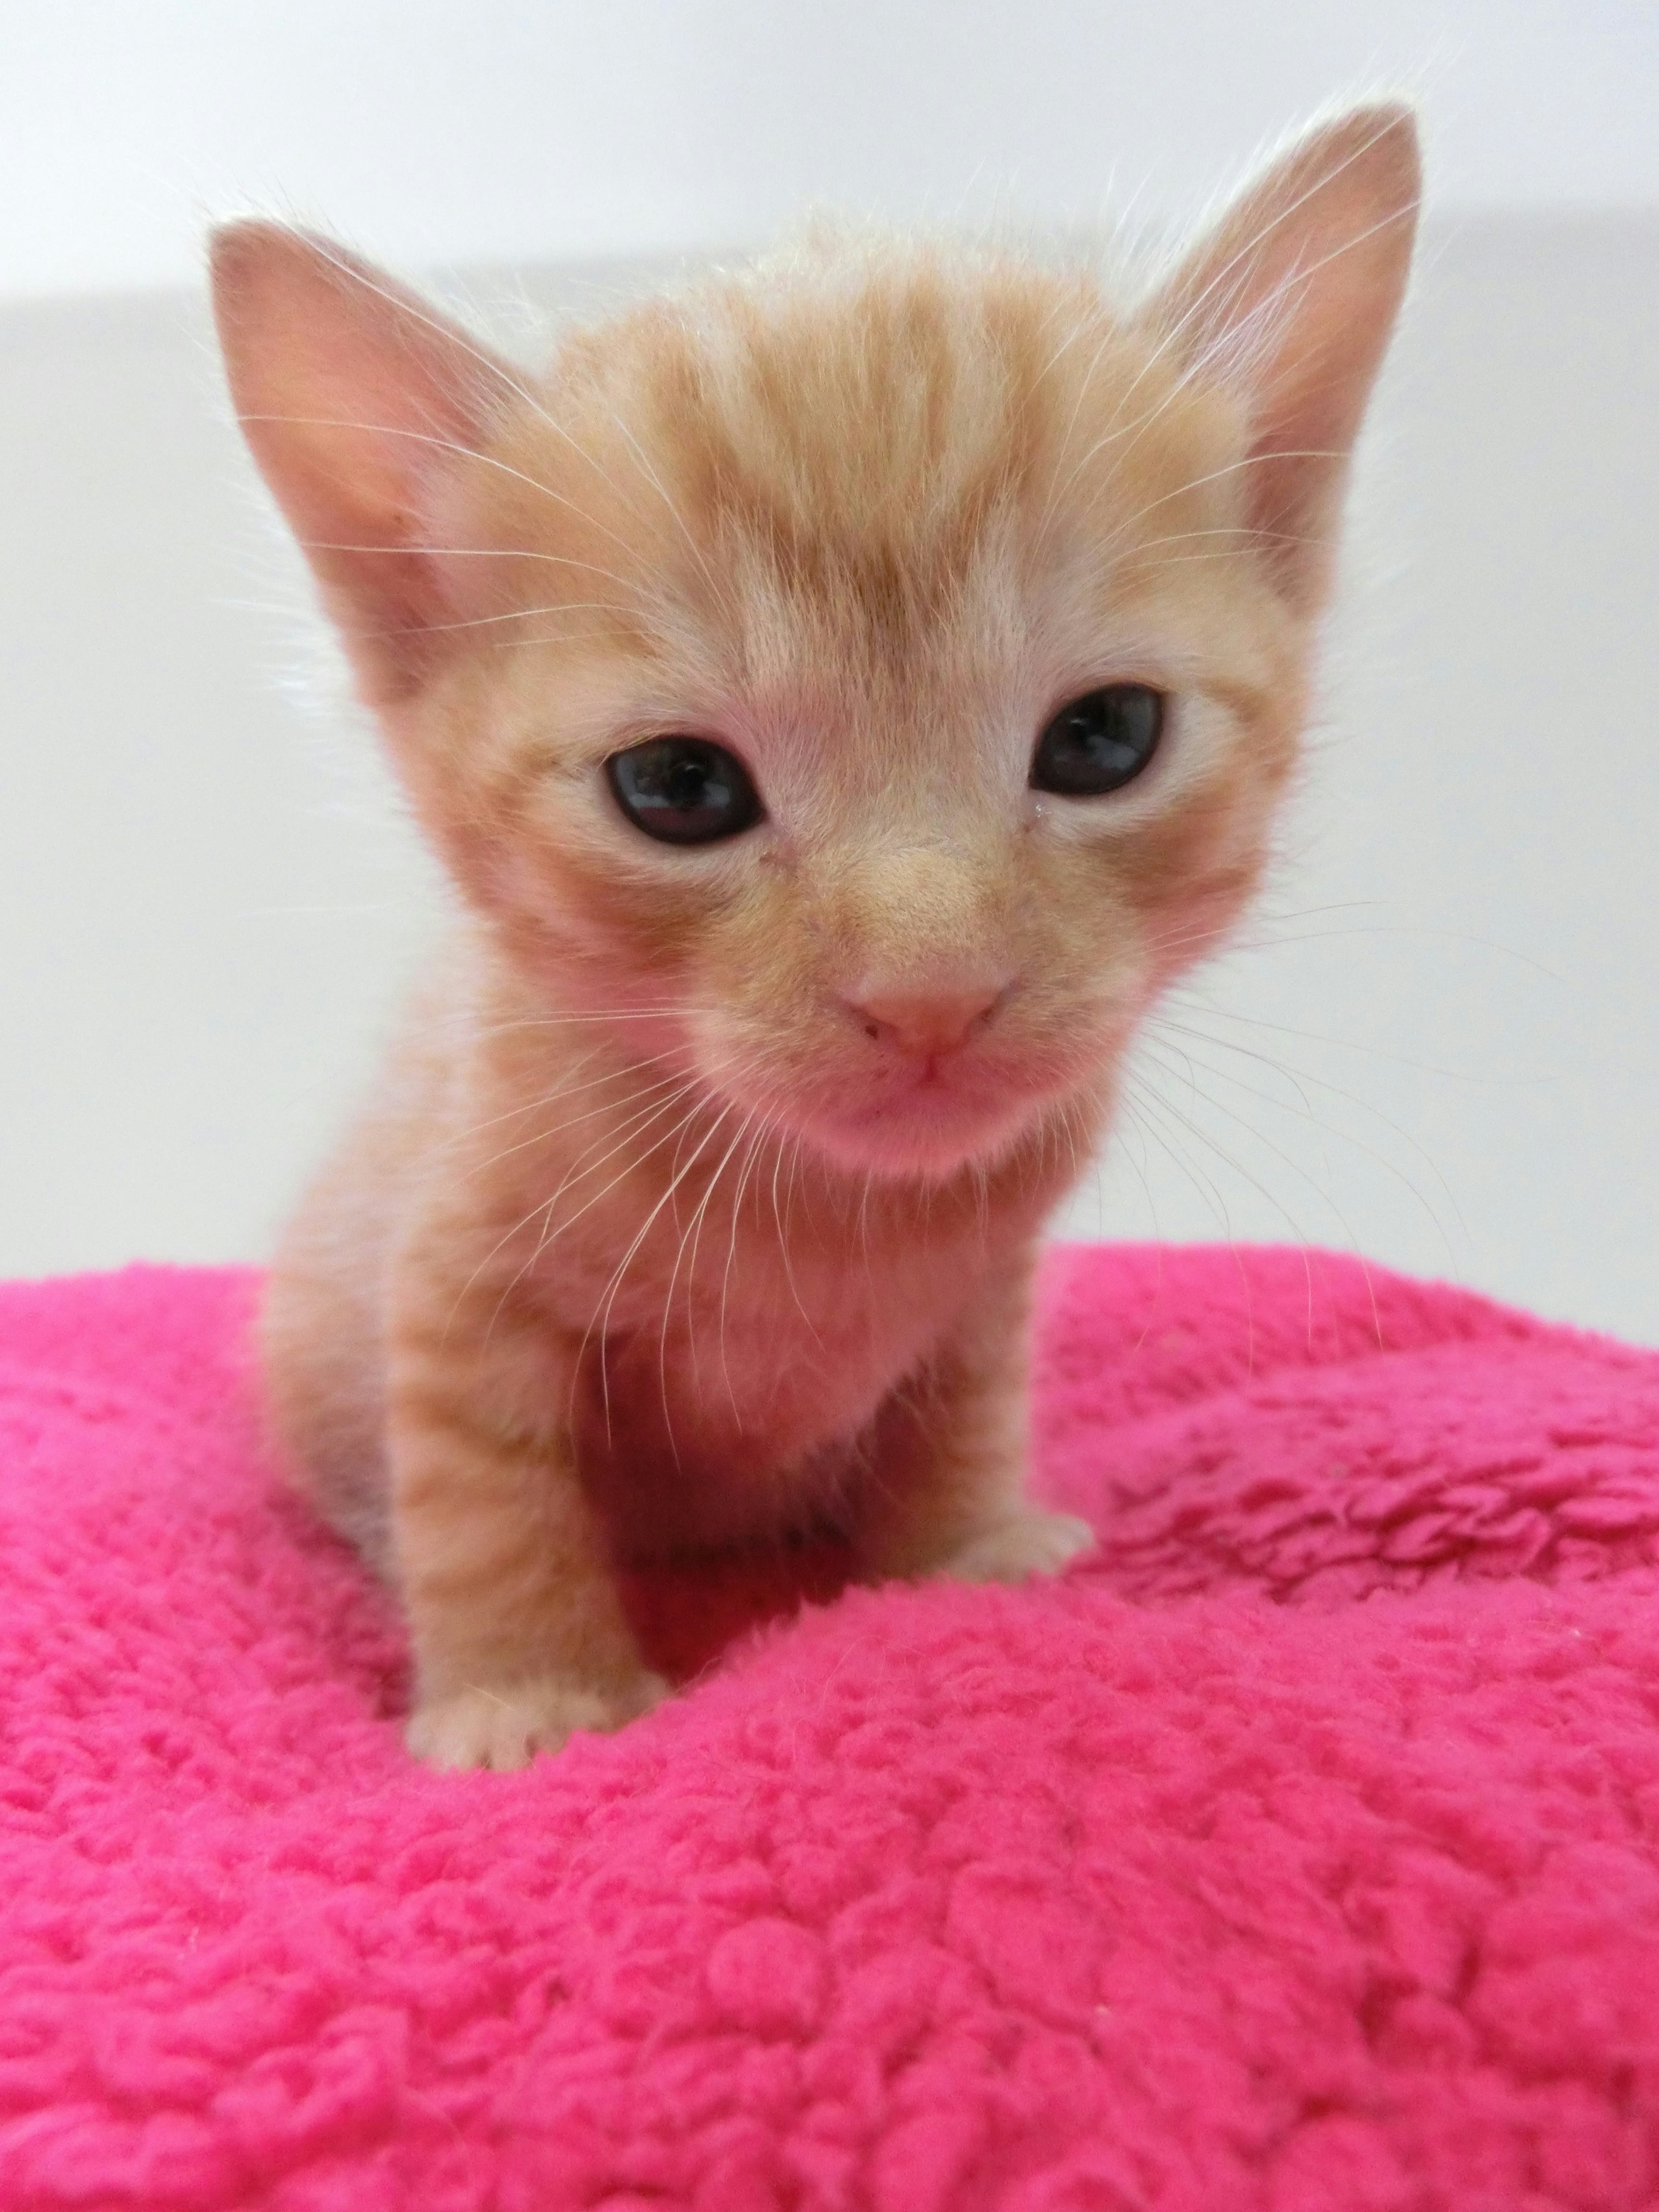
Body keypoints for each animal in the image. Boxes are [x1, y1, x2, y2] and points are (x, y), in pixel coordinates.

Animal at [214, 104, 1424, 1770]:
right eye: (677, 787)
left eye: (1103, 738)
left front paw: (960, 1556)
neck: (828, 1217)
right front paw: (533, 1695)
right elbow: (483, 1482)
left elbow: (957, 1405)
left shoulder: (986, 1280)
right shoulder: (452, 1271)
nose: (931, 991)